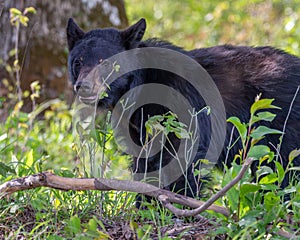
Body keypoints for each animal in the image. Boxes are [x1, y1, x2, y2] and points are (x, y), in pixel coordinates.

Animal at [67, 18, 298, 199]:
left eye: (105, 63)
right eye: (78, 62)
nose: (83, 86)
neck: (141, 85)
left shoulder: (180, 108)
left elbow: (180, 155)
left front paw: (175, 202)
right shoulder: (140, 125)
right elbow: (146, 159)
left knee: (285, 165)